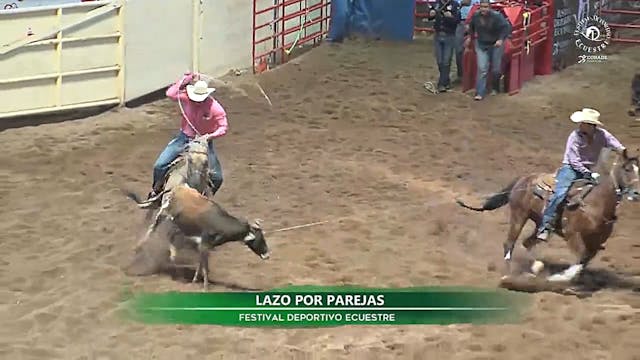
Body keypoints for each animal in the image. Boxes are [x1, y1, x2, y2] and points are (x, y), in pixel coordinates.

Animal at [125, 186, 270, 290]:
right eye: (259, 239)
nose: (267, 255)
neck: (219, 222)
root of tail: (176, 188)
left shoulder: (203, 245)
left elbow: (200, 263)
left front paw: (195, 280)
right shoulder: (204, 244)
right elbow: (205, 266)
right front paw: (206, 287)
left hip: (178, 224)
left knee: (171, 236)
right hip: (164, 214)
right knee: (154, 228)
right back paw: (141, 246)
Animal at [456, 148, 640, 282]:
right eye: (627, 169)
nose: (637, 193)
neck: (596, 204)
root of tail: (523, 179)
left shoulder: (595, 244)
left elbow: (583, 261)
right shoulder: (572, 235)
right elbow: (579, 259)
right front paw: (559, 278)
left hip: (539, 223)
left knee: (527, 242)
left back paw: (535, 267)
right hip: (519, 216)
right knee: (509, 243)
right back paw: (508, 274)